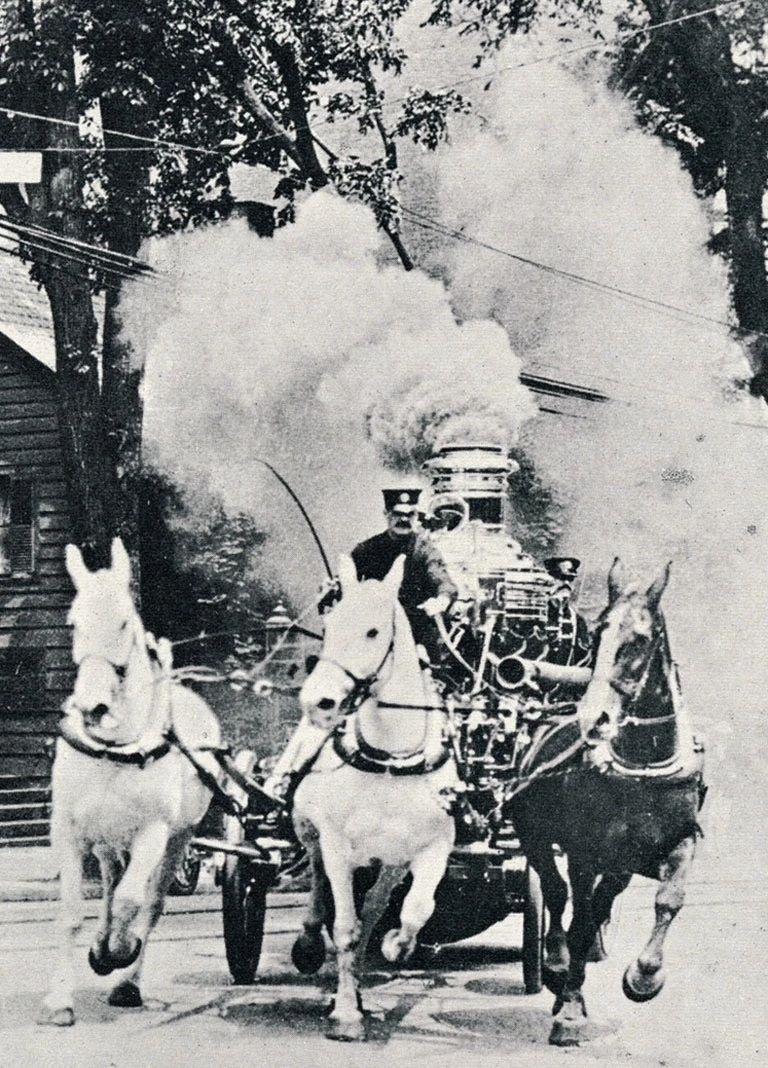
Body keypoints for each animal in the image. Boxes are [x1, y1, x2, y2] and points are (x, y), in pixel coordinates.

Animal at [38, 538, 221, 1026]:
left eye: (124, 620)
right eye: (74, 621)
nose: (93, 707)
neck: (114, 748)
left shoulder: (153, 833)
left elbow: (131, 902)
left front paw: (121, 952)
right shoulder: (68, 831)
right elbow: (73, 912)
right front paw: (60, 998)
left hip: (180, 836)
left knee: (150, 901)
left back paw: (126, 978)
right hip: (106, 839)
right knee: (108, 883)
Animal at [291, 553, 457, 1041]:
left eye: (372, 632)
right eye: (329, 626)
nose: (319, 701)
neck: (390, 757)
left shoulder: (435, 845)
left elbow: (416, 909)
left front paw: (396, 945)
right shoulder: (337, 845)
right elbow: (344, 927)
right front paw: (346, 1014)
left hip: (391, 861)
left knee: (376, 904)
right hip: (309, 830)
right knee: (317, 880)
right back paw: (311, 943)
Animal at [509, 558, 706, 1046]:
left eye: (639, 639)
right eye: (597, 635)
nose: (592, 719)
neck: (642, 766)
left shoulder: (681, 840)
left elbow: (670, 899)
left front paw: (644, 977)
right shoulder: (585, 852)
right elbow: (578, 919)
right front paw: (570, 1009)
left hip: (619, 866)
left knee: (598, 903)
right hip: (534, 836)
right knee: (556, 893)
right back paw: (557, 966)